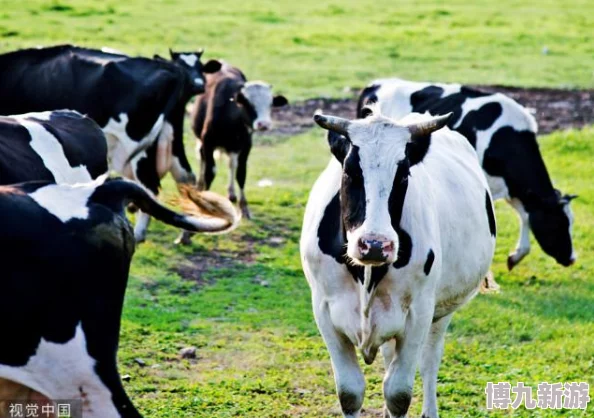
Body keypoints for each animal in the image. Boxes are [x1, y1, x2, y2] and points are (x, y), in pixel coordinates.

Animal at [0, 43, 220, 242]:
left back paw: (140, 234)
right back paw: (185, 235)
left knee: (151, 185)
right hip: (171, 139)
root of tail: (169, 69)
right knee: (185, 177)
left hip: (138, 146)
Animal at [187, 61, 284, 220]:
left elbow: (241, 173)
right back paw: (200, 186)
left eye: (270, 104)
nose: (263, 124)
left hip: (233, 146)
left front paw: (244, 208)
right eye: (248, 103)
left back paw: (231, 194)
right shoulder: (208, 142)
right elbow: (209, 171)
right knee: (201, 158)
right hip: (201, 140)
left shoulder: (245, 145)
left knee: (231, 163)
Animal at [300, 108, 494, 418]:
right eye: (349, 171)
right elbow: (350, 392)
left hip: (442, 310)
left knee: (429, 361)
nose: (375, 244)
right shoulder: (324, 308)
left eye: (403, 175)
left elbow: (398, 393)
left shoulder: (419, 312)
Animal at [356, 79, 572, 270]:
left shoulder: (515, 188)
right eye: (559, 223)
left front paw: (515, 256)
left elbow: (526, 215)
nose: (571, 258)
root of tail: (375, 84)